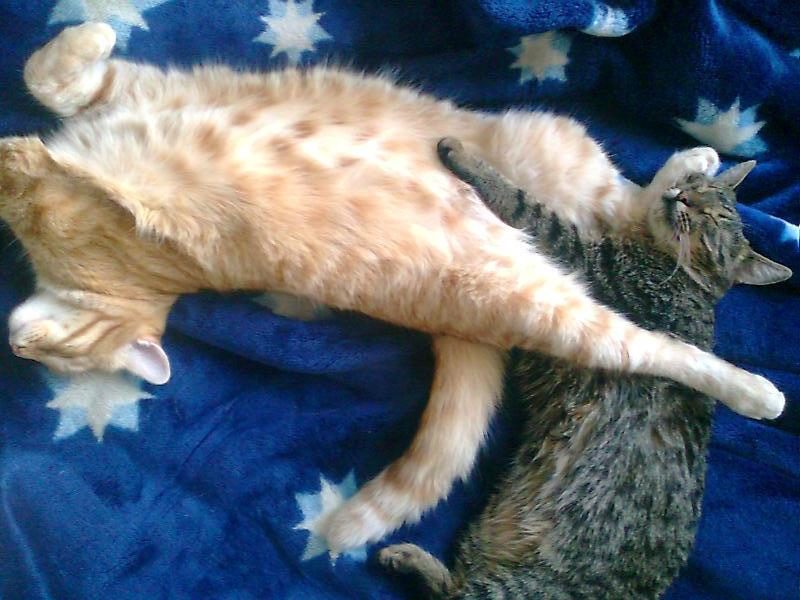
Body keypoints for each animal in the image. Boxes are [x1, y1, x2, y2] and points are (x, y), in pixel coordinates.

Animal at [0, 24, 786, 554]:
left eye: (58, 356)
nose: (18, 348)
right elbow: (42, 97)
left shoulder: (117, 106)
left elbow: (45, 83)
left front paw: (92, 33)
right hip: (548, 249)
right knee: (628, 248)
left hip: (554, 175)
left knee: (648, 297)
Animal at [378, 138, 792, 598]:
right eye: (695, 186)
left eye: (714, 217)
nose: (683, 196)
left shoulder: (583, 258)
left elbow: (522, 203)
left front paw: (465, 158)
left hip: (525, 587)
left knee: (457, 594)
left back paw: (407, 558)